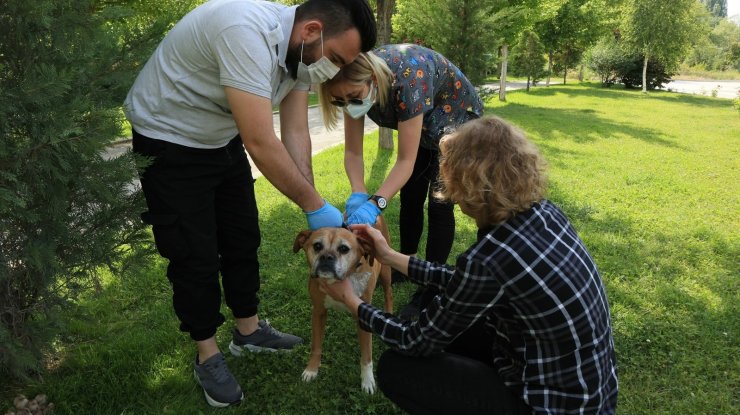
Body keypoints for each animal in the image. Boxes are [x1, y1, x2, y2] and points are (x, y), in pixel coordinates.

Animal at [292, 219, 394, 394]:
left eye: (344, 249)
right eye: (317, 246)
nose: (326, 257)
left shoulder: (363, 317)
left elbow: (366, 354)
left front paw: (367, 380)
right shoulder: (318, 312)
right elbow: (316, 346)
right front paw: (312, 369)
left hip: (386, 268)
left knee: (389, 292)